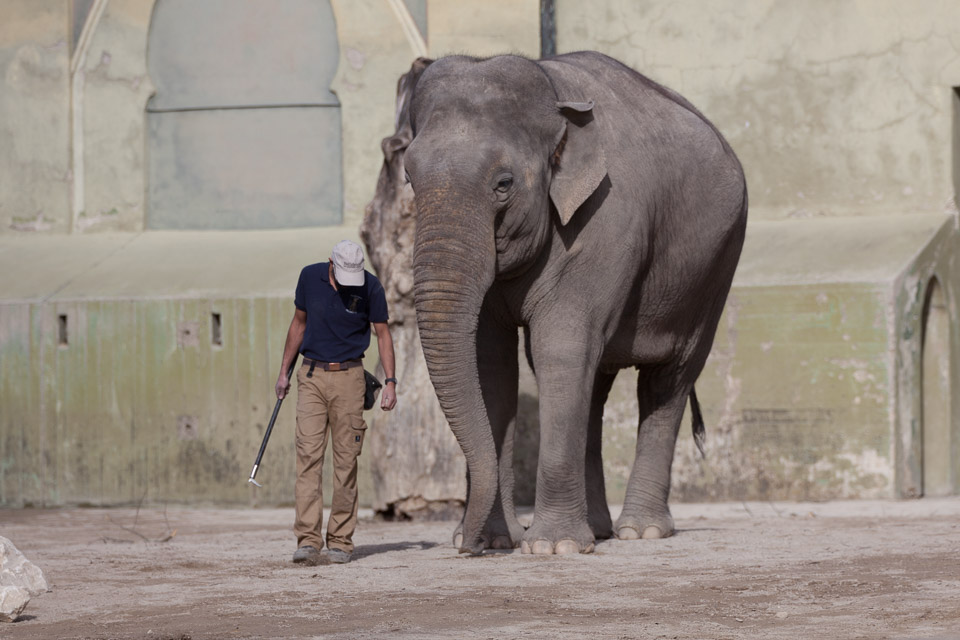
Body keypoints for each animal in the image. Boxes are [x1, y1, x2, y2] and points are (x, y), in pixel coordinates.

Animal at [398, 52, 752, 556]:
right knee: (597, 384)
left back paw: (640, 531)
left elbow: (560, 349)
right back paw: (599, 530)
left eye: (503, 183)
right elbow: (491, 363)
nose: (465, 546)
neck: (554, 94)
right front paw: (498, 540)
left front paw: (552, 547)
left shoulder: (602, 221)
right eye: (409, 177)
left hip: (716, 269)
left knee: (669, 379)